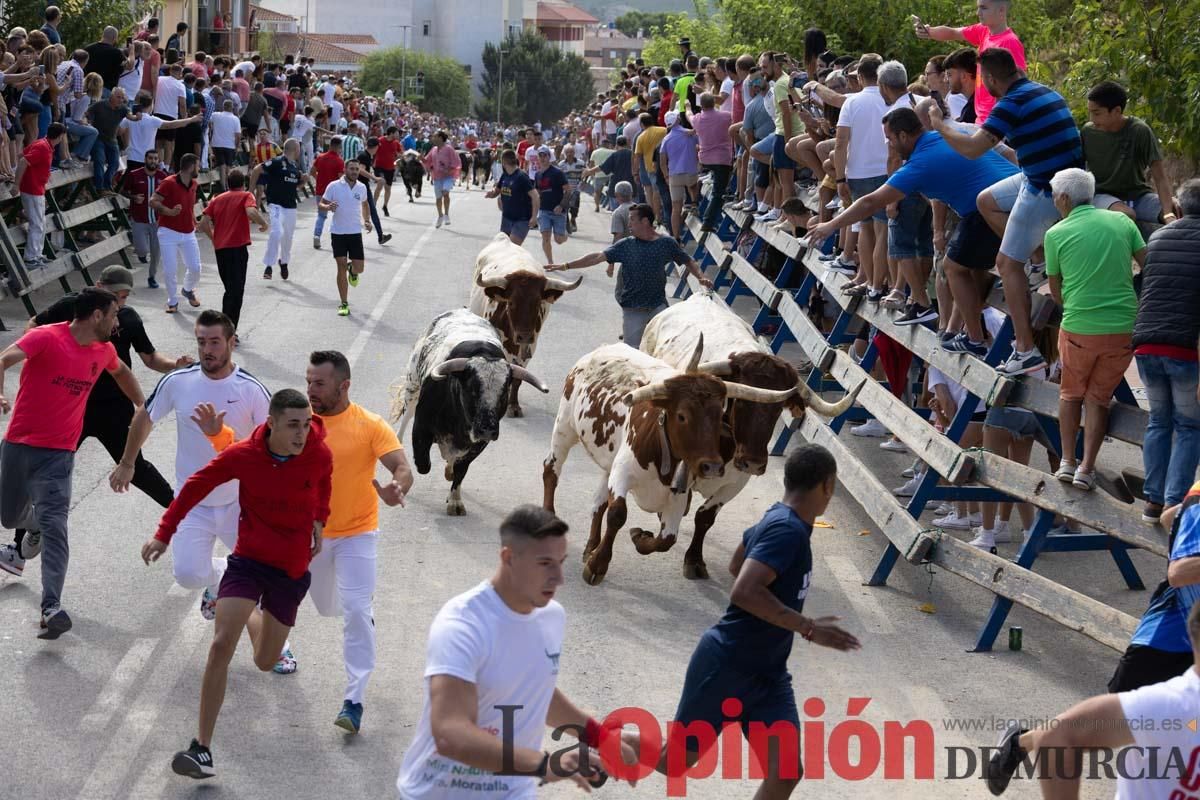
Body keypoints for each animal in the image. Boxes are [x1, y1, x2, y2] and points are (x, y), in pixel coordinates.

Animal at [396, 309, 549, 515]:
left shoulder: (479, 444)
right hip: (412, 387)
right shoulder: (421, 427)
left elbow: (460, 470)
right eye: (472, 390)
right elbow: (423, 464)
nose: (487, 428)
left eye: (503, 393)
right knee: (405, 418)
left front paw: (455, 501)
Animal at [468, 232, 580, 417]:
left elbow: (519, 377)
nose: (524, 336)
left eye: (538, 303)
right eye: (511, 302)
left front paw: (513, 405)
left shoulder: (530, 347)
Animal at [544, 335, 796, 585]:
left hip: (608, 460)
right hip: (564, 428)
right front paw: (598, 565)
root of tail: (600, 351)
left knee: (599, 502)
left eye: (719, 416)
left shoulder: (680, 493)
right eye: (682, 416)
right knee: (551, 470)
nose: (712, 466)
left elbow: (667, 539)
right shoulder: (623, 474)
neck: (660, 446)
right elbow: (617, 514)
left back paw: (591, 546)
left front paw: (639, 536)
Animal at [648, 292, 864, 575]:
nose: (753, 462)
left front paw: (694, 560)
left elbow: (705, 517)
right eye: (741, 401)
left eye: (778, 409)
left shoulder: (736, 483)